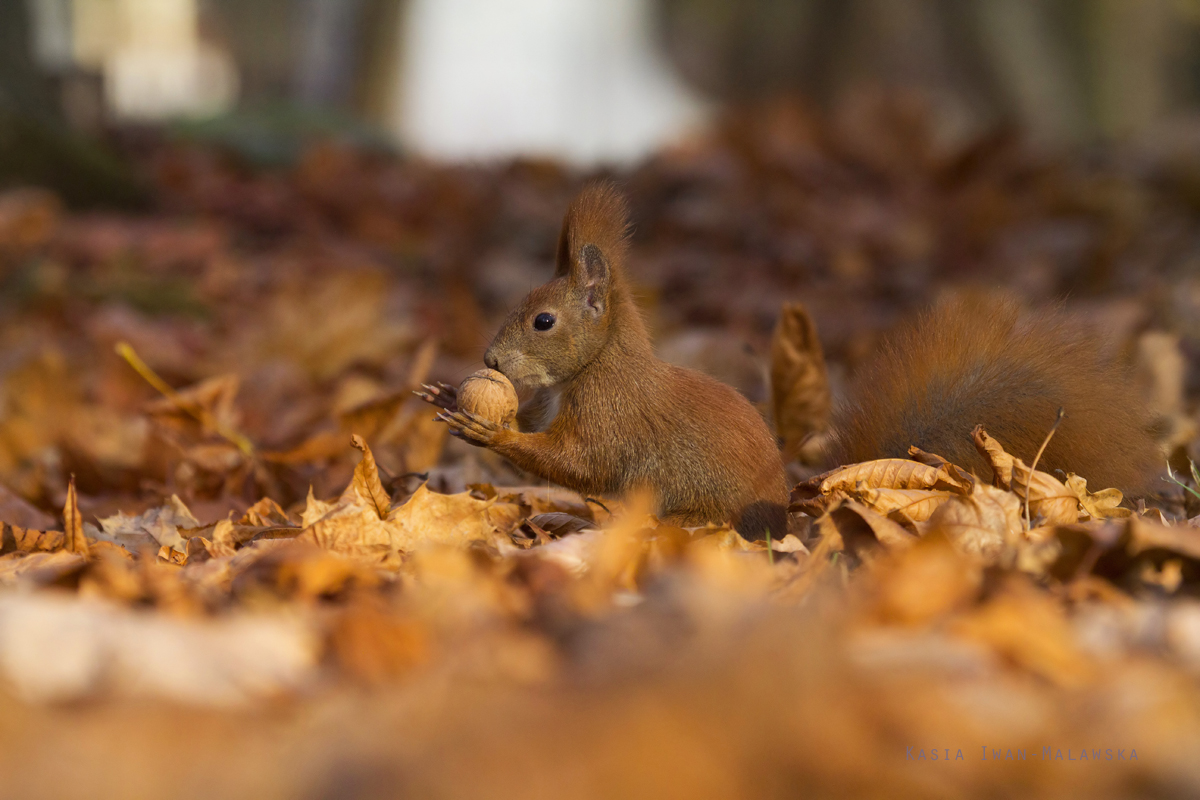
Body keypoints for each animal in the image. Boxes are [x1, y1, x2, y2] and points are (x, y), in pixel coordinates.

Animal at [424, 184, 1161, 534]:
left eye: (544, 321)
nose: (490, 357)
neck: (602, 364)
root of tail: (787, 515)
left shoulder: (611, 418)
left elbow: (579, 460)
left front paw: (485, 429)